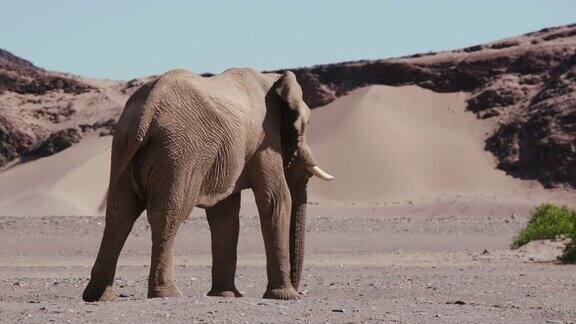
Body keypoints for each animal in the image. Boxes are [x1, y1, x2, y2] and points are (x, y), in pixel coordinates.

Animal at [81, 67, 332, 302]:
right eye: (307, 124)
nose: (299, 290)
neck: (272, 79)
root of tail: (148, 107)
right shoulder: (265, 137)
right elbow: (275, 199)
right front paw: (285, 296)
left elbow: (225, 213)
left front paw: (225, 295)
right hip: (178, 153)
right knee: (168, 215)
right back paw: (167, 294)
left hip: (123, 145)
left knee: (119, 216)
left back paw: (98, 296)